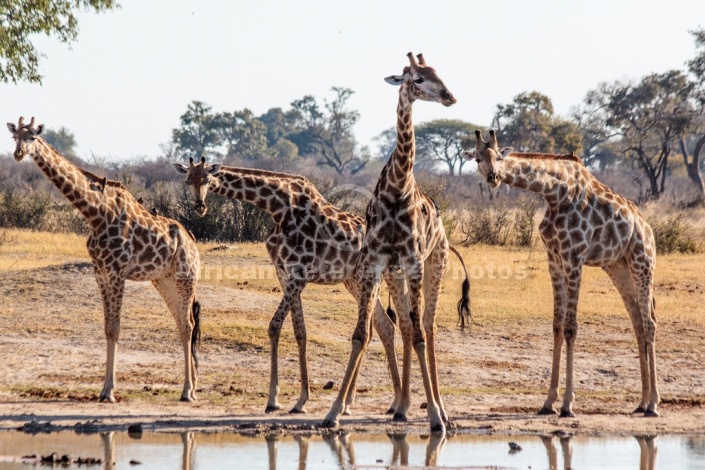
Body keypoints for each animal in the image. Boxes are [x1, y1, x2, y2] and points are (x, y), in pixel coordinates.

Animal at [7, 118, 201, 404]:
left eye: (32, 136)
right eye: (14, 137)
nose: (18, 154)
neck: (95, 213)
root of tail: (192, 242)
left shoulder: (118, 271)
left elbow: (116, 328)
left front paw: (109, 391)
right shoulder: (100, 272)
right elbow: (107, 327)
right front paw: (104, 389)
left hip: (185, 277)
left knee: (187, 325)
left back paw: (187, 391)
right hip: (163, 280)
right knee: (182, 322)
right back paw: (192, 387)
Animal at [324, 52, 468, 434]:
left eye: (437, 73)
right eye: (416, 78)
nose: (449, 96)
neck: (396, 190)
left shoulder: (414, 263)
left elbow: (418, 334)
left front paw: (435, 418)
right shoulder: (375, 265)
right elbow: (361, 334)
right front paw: (332, 412)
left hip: (435, 266)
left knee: (427, 328)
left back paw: (440, 409)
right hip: (395, 276)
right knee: (405, 326)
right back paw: (402, 406)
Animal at [462, 130, 660, 416]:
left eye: (499, 156)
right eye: (478, 158)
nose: (494, 177)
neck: (554, 194)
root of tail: (646, 226)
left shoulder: (574, 257)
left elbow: (570, 328)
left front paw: (567, 404)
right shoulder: (554, 259)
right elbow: (556, 325)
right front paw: (548, 402)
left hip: (642, 262)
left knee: (650, 322)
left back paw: (654, 403)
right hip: (618, 268)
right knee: (638, 323)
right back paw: (641, 402)